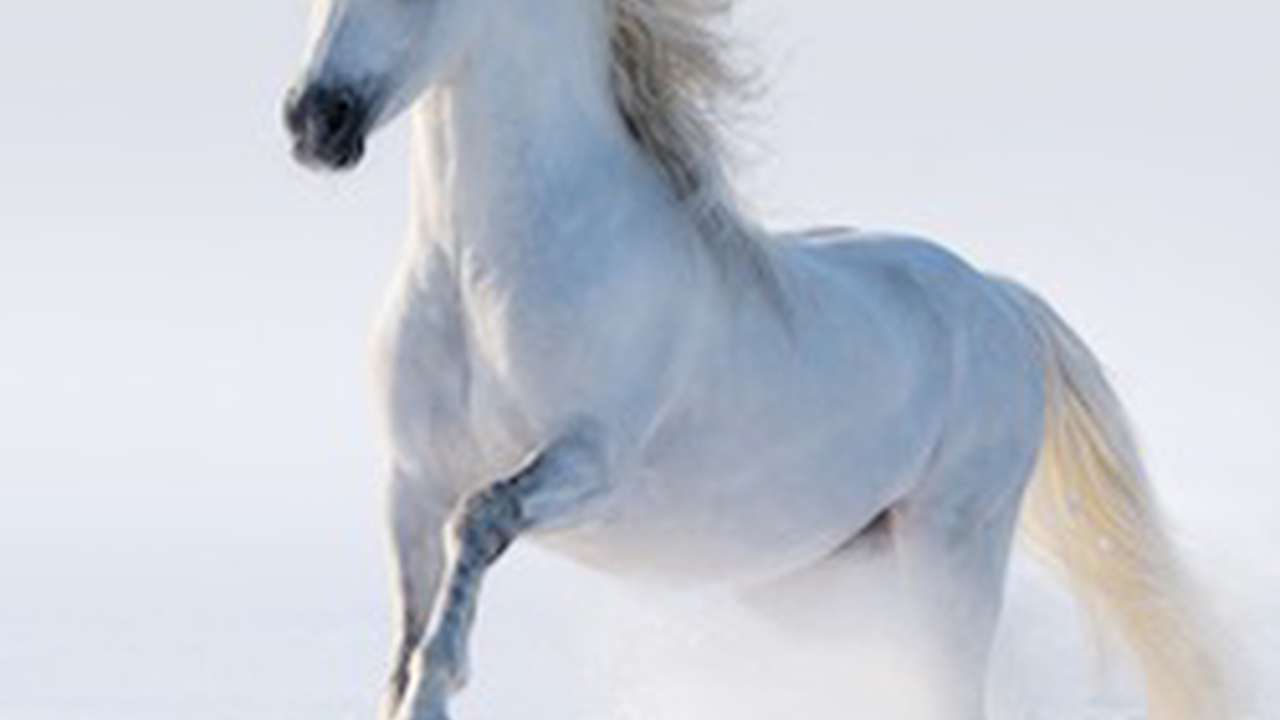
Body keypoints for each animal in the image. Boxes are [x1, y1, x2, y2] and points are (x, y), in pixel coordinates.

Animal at [283, 1, 1232, 718]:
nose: (314, 122)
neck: (482, 275)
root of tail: (1000, 297)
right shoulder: (411, 481)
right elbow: (412, 614)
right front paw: (410, 692)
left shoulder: (591, 464)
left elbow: (478, 520)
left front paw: (440, 691)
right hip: (830, 578)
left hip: (953, 546)